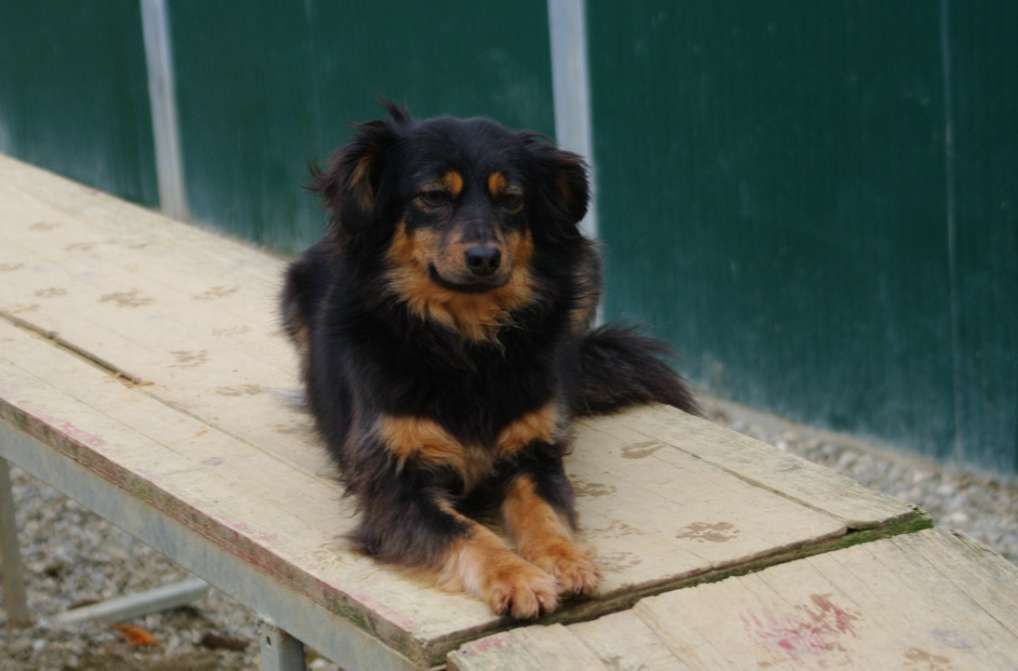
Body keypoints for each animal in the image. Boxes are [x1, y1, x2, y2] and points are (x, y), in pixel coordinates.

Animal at [281, 103, 698, 619]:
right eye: (434, 196)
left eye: (512, 199)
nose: (485, 257)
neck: (466, 342)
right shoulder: (396, 484)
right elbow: (466, 531)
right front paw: (517, 577)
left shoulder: (533, 452)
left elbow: (542, 511)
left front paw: (565, 559)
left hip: (586, 272)